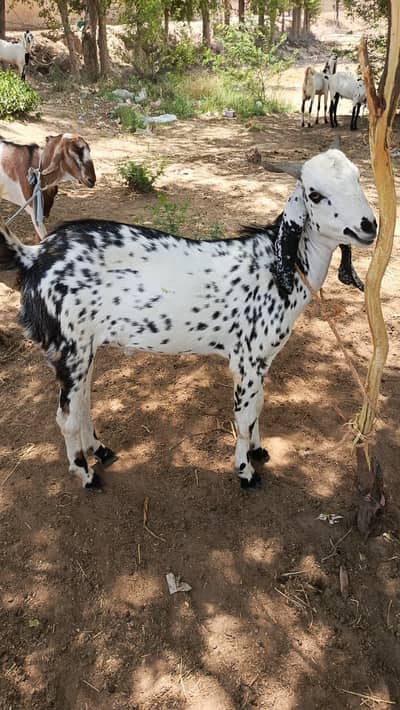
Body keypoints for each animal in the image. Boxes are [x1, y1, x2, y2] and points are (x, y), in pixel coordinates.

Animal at [0, 146, 376, 492]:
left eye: (358, 177)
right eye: (314, 194)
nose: (369, 226)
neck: (275, 267)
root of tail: (35, 256)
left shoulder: (263, 361)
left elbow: (258, 406)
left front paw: (258, 451)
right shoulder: (247, 359)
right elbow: (244, 416)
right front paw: (245, 471)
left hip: (84, 349)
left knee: (82, 404)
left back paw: (100, 450)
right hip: (69, 349)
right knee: (65, 417)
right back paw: (86, 474)